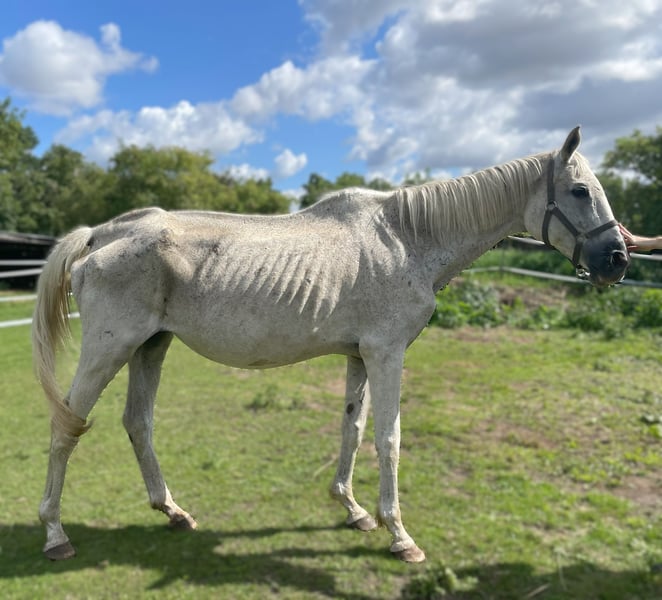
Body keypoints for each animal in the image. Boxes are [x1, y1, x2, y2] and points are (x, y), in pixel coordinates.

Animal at [32, 127, 629, 563]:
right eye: (580, 191)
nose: (618, 259)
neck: (406, 238)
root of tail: (102, 234)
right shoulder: (387, 354)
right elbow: (389, 438)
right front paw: (399, 535)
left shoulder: (359, 356)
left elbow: (354, 429)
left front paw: (354, 510)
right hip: (108, 351)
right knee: (66, 426)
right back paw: (55, 535)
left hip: (150, 347)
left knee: (138, 423)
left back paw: (173, 512)